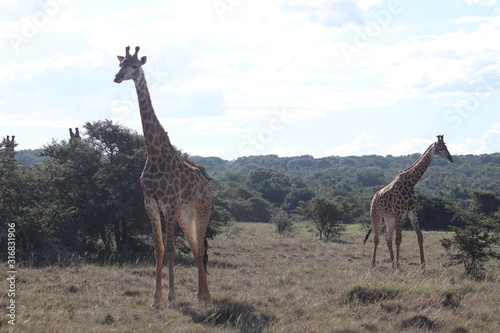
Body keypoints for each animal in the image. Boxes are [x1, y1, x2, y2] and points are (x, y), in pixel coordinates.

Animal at [114, 46, 212, 306]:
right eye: (120, 64)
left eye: (135, 66)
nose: (117, 77)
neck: (154, 153)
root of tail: (207, 186)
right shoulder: (150, 203)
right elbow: (158, 249)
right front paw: (156, 298)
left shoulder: (167, 203)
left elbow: (171, 250)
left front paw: (172, 297)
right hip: (184, 214)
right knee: (196, 247)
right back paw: (200, 294)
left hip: (201, 210)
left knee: (200, 249)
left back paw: (206, 297)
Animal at [364, 135, 454, 270]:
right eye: (440, 148)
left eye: (446, 146)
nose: (450, 158)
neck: (410, 183)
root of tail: (373, 199)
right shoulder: (400, 212)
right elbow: (399, 239)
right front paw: (399, 265)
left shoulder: (411, 210)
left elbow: (420, 236)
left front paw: (423, 266)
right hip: (376, 215)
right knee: (377, 238)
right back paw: (374, 264)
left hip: (389, 217)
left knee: (387, 238)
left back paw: (392, 264)